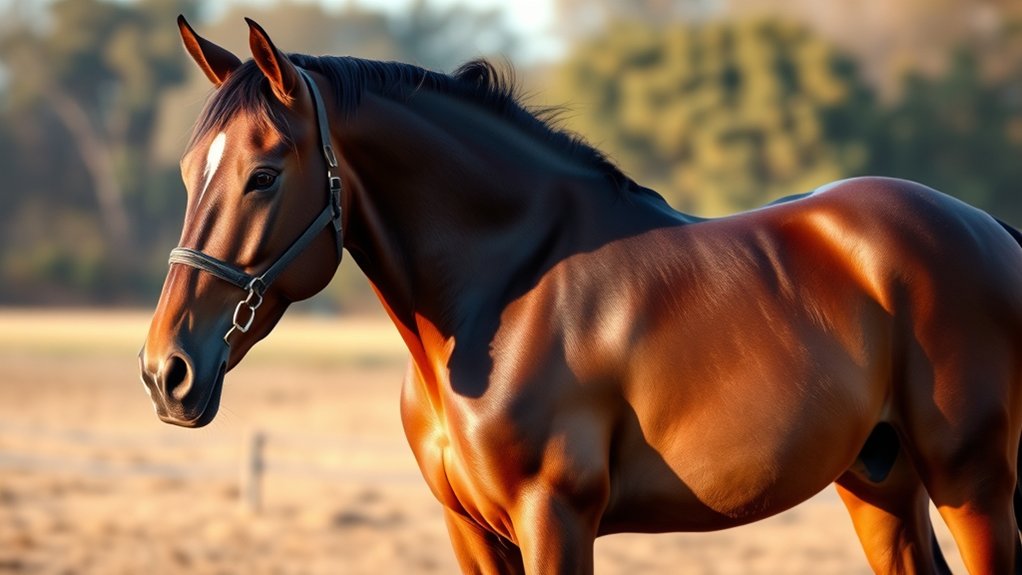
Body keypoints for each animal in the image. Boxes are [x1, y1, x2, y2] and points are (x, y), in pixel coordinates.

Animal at [139, 16, 1022, 574]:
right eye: (185, 171)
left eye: (262, 175)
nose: (166, 372)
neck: (503, 294)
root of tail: (990, 230)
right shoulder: (471, 532)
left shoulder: (554, 518)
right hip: (881, 485)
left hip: (973, 484)